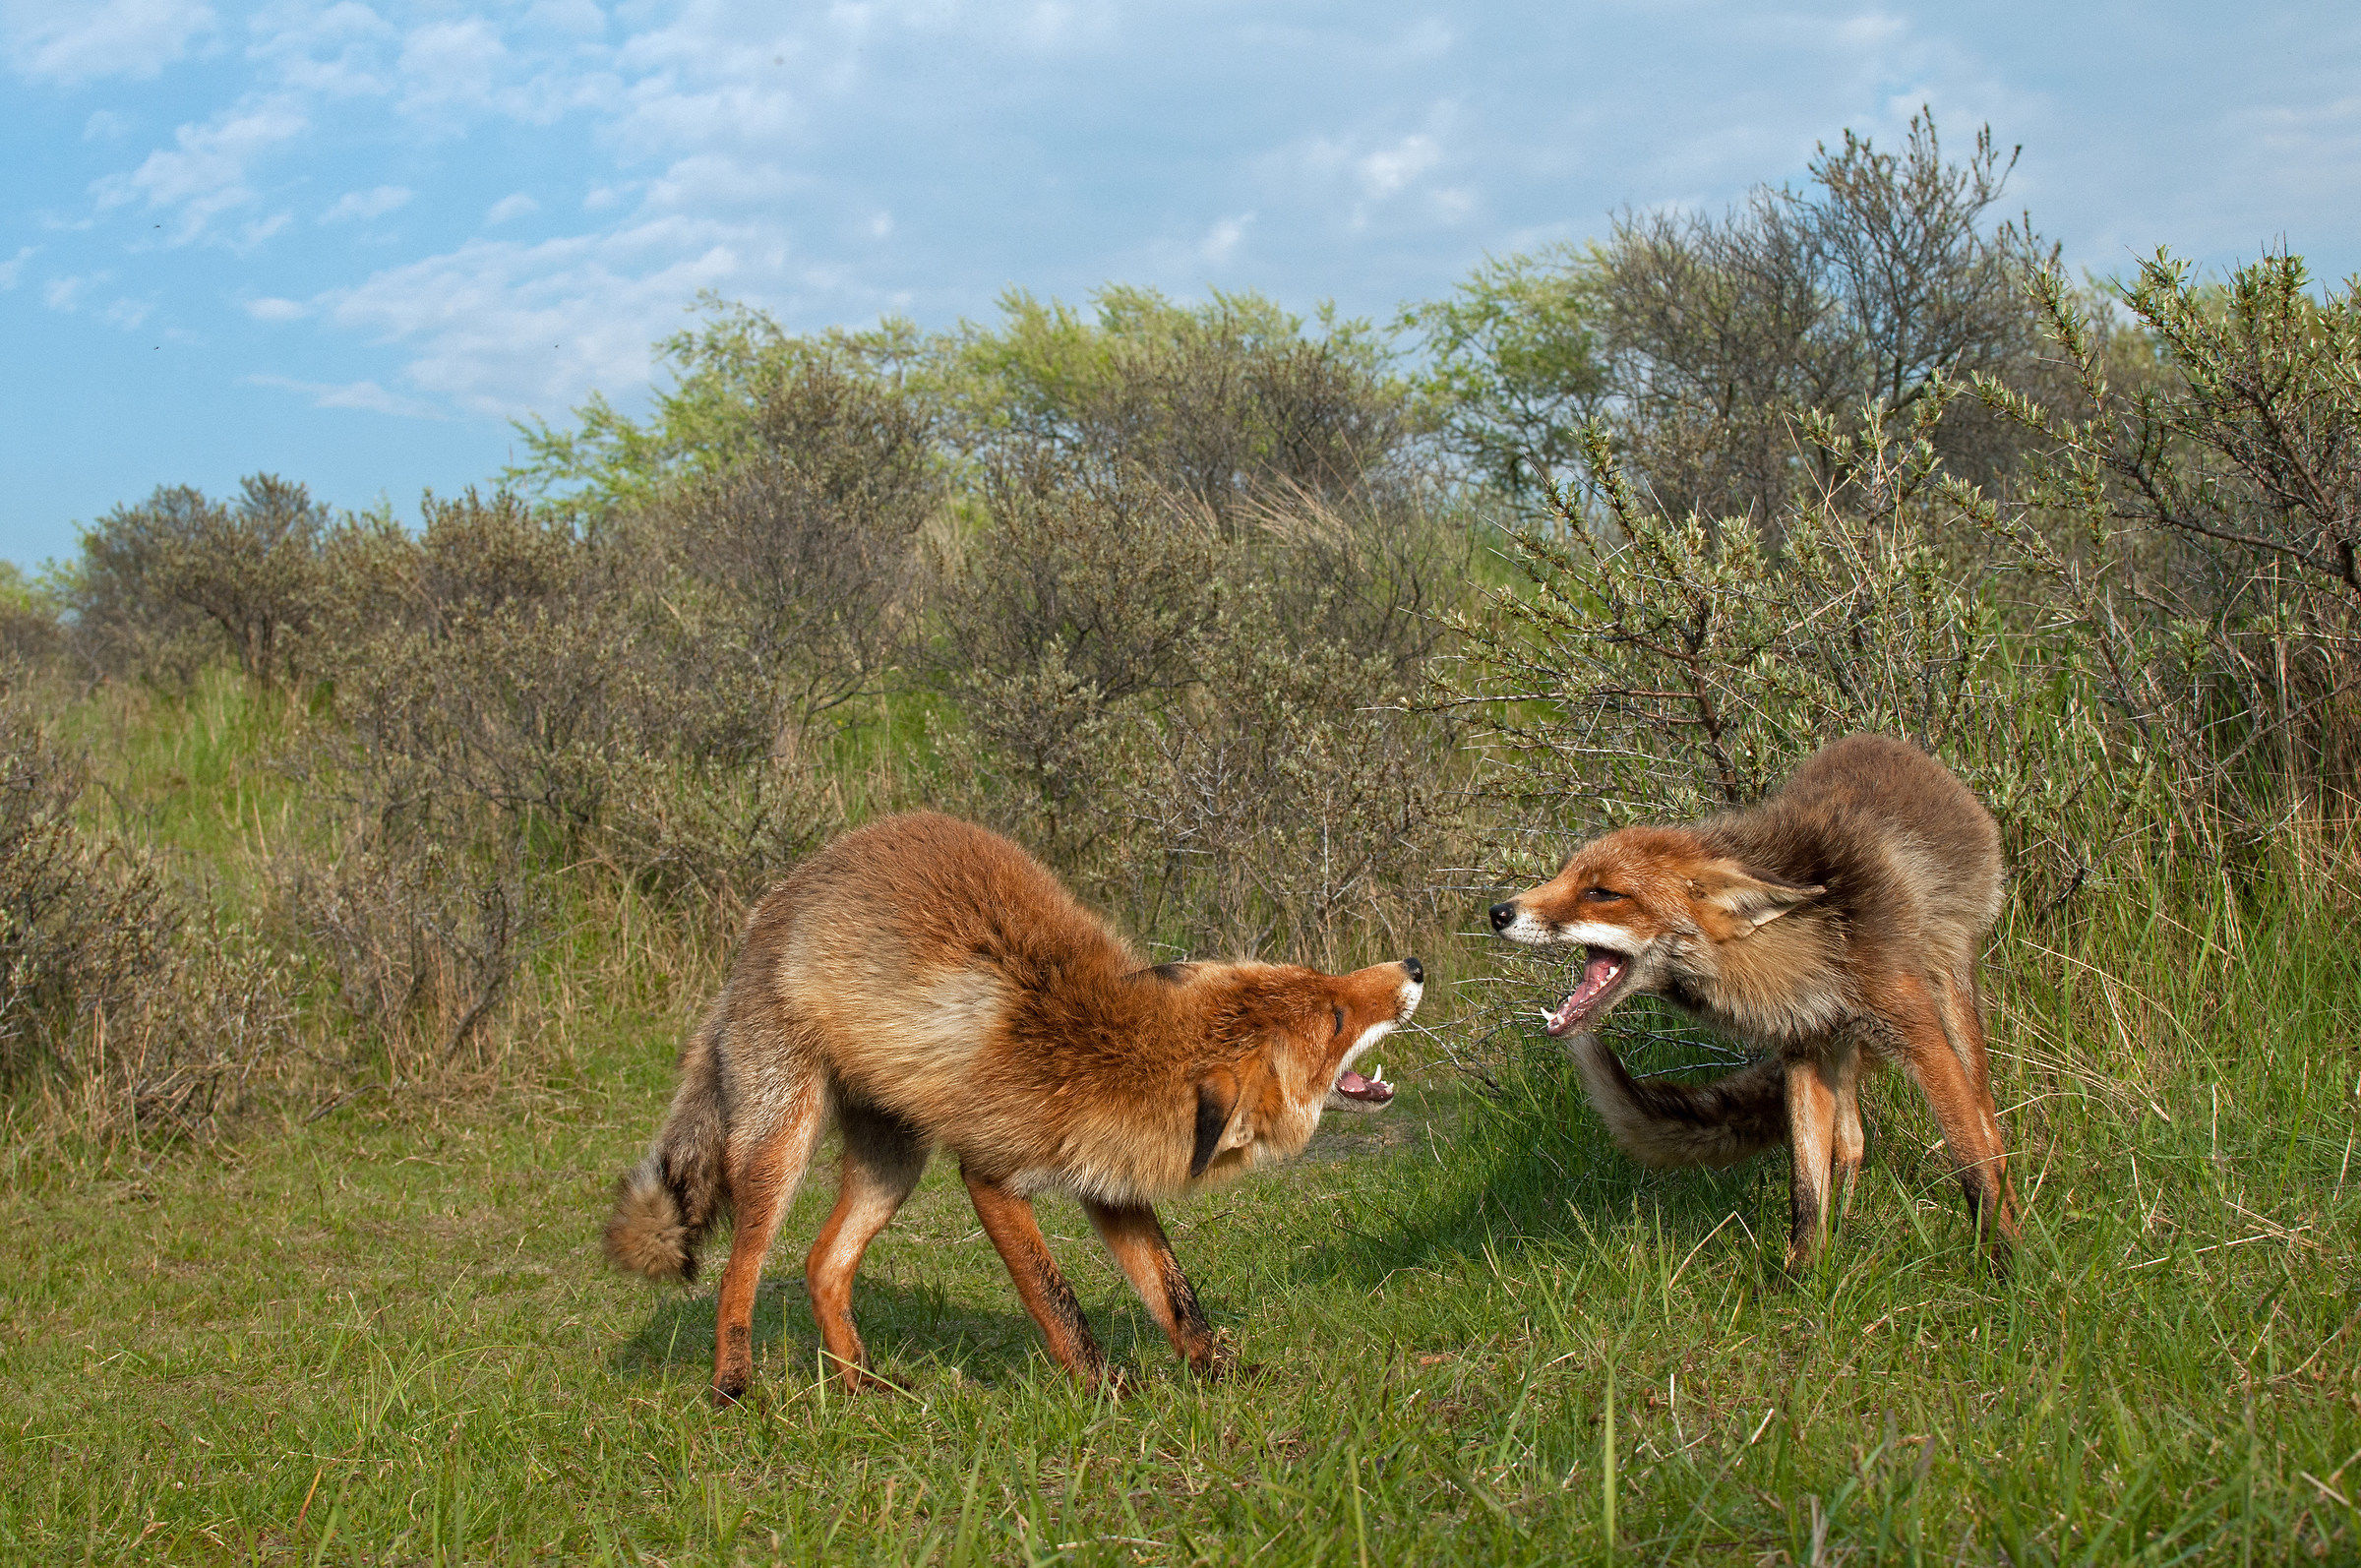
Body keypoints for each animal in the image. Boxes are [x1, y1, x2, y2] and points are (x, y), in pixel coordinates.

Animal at [605, 810, 1423, 1404]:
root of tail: (774, 905)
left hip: (893, 1165)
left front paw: (1217, 1373)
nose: (1414, 966)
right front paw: (1105, 1390)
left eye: (1324, 981)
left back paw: (864, 1386)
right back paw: (733, 1386)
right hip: (783, 1145)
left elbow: (1175, 1294)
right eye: (1335, 1020)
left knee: (821, 1264)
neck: (1103, 1052)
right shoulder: (991, 1177)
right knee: (739, 1272)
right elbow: (1058, 1302)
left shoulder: (1111, 1184)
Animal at [1487, 734, 2016, 1271]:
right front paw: (1801, 1276)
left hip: (1951, 996)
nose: (1498, 912)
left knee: (1989, 1127)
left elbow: (1972, 1163)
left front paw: (2005, 1265)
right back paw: (1845, 1229)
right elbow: (1806, 1189)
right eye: (1563, 876)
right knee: (1851, 1142)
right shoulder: (1804, 1047)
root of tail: (1894, 746)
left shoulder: (1917, 1036)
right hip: (1842, 1047)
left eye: (1602, 892)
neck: (1813, 949)